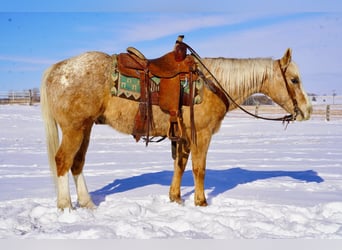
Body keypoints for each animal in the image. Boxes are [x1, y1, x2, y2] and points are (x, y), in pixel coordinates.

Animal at [40, 46, 312, 209]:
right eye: (294, 80)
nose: (307, 110)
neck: (212, 83)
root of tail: (57, 68)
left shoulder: (182, 136)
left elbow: (179, 165)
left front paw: (176, 198)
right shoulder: (201, 134)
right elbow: (199, 169)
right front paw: (201, 202)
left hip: (85, 128)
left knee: (77, 163)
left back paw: (87, 204)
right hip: (74, 128)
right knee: (63, 161)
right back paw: (65, 205)